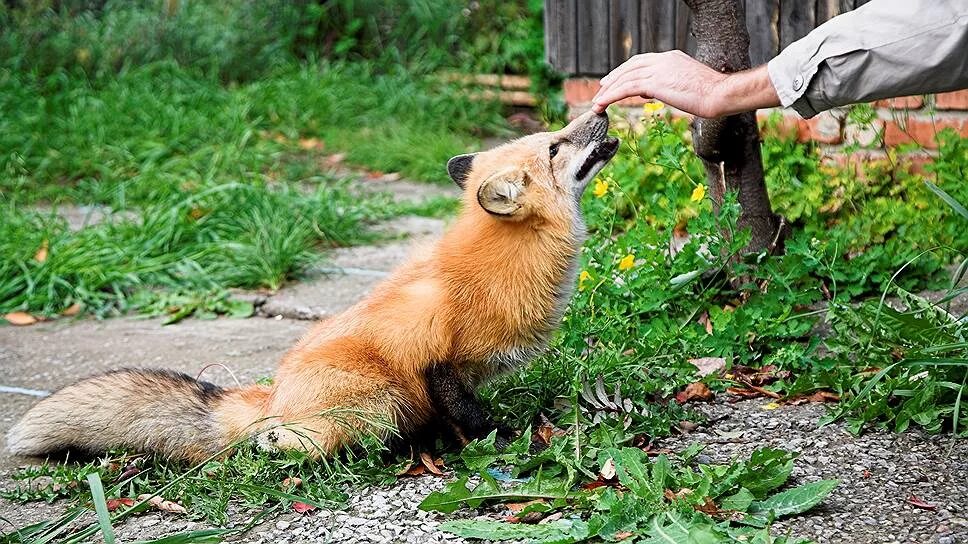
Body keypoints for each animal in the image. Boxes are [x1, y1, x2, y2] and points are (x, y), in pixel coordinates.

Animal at [5, 111, 620, 464]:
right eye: (554, 147)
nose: (603, 113)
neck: (502, 265)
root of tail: (273, 394)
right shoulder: (437, 363)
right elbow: (471, 416)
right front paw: (509, 441)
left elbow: (462, 419)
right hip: (380, 401)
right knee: (297, 440)